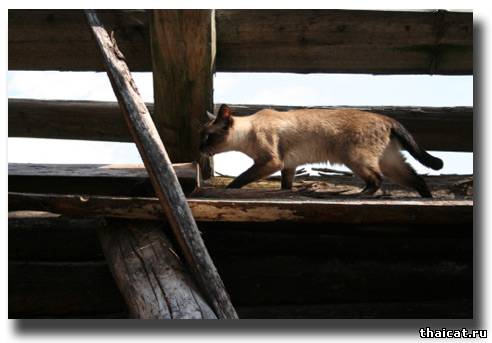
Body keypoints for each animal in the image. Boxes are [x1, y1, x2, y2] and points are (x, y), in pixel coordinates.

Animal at [198, 104, 444, 199]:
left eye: (208, 136)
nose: (198, 147)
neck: (247, 132)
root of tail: (387, 118)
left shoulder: (270, 162)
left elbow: (240, 179)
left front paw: (228, 190)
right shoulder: (289, 166)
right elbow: (286, 185)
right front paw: (286, 193)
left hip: (355, 158)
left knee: (377, 179)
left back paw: (359, 195)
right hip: (390, 162)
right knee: (416, 178)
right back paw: (427, 199)